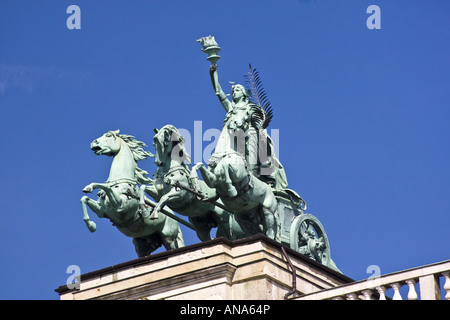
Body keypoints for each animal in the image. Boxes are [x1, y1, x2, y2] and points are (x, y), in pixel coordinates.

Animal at [80, 130, 184, 258]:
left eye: (108, 135)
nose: (93, 143)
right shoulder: (102, 211)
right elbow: (84, 198)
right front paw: (91, 225)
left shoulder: (121, 205)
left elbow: (106, 187)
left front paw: (90, 187)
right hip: (142, 244)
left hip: (168, 236)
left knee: (172, 247)